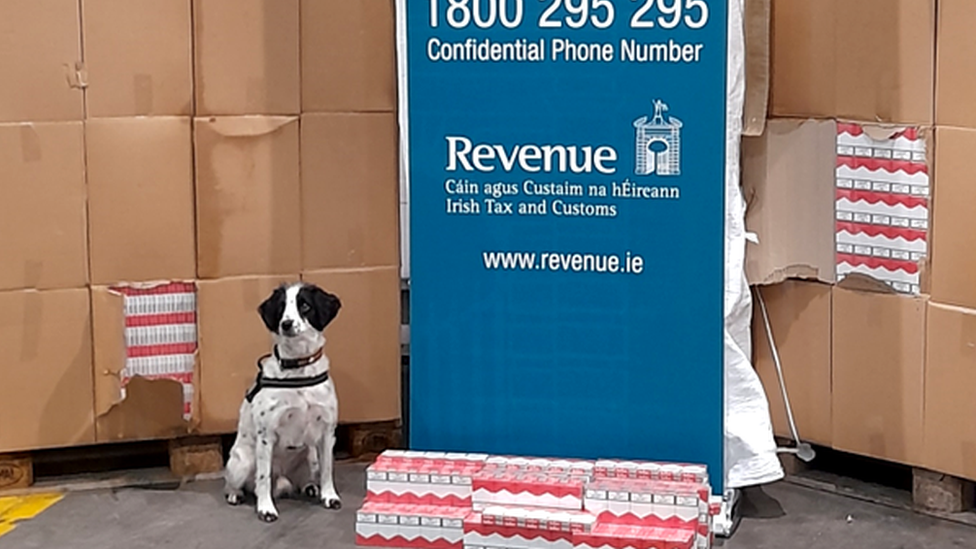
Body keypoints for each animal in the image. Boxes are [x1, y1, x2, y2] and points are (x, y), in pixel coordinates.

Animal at [224, 282, 344, 524]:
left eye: (305, 305)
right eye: (281, 308)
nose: (286, 324)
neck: (298, 367)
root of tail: (283, 479)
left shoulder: (327, 433)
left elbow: (328, 470)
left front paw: (330, 496)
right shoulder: (266, 436)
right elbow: (263, 478)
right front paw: (266, 509)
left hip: (311, 457)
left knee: (307, 477)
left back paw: (310, 487)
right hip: (242, 462)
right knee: (239, 484)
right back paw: (235, 494)